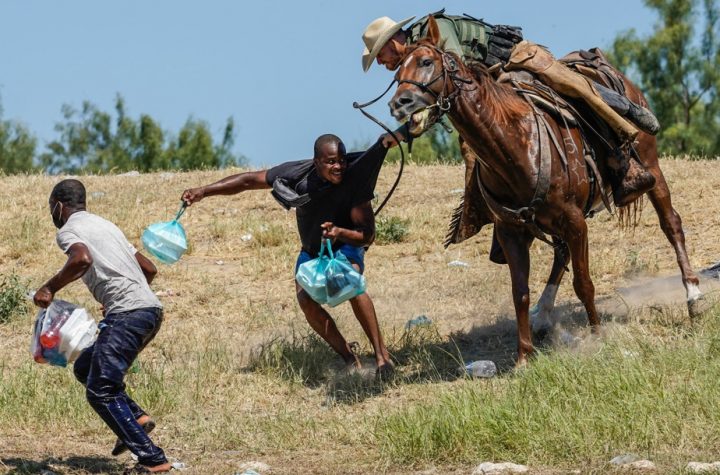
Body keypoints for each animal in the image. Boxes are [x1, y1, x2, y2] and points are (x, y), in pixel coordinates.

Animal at [388, 14, 704, 364]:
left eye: (427, 62)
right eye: (397, 73)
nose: (399, 103)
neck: (514, 145)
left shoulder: (575, 221)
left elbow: (584, 283)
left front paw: (597, 336)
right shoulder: (512, 231)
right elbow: (520, 292)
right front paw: (524, 357)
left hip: (651, 169)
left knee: (671, 224)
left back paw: (693, 296)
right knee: (561, 253)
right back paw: (543, 315)